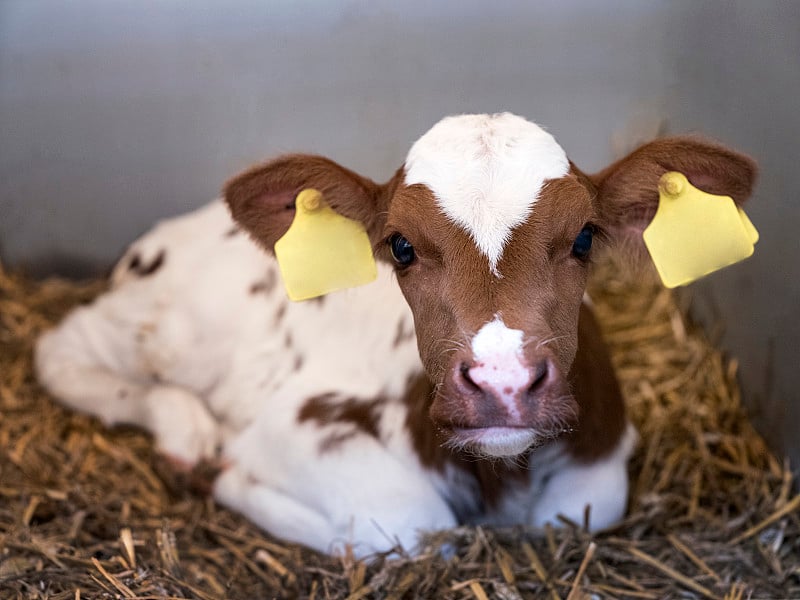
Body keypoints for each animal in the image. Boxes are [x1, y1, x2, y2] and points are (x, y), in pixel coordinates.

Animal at [32, 113, 756, 556]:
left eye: (584, 237)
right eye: (400, 246)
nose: (503, 383)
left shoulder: (600, 459)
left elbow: (584, 509)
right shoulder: (298, 424)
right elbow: (411, 520)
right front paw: (238, 483)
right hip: (170, 329)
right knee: (60, 350)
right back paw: (185, 432)